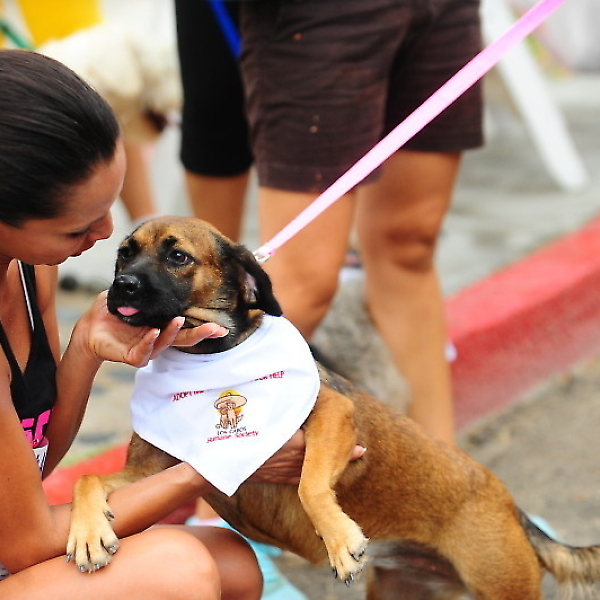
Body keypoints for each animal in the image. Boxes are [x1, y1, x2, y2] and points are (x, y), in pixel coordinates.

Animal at [67, 216, 600, 599]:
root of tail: (512, 507)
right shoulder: (149, 473)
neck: (209, 356)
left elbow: (310, 484)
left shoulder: (333, 416)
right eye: (124, 253)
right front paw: (87, 532)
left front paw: (340, 540)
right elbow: (87, 478)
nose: (122, 286)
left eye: (178, 256)